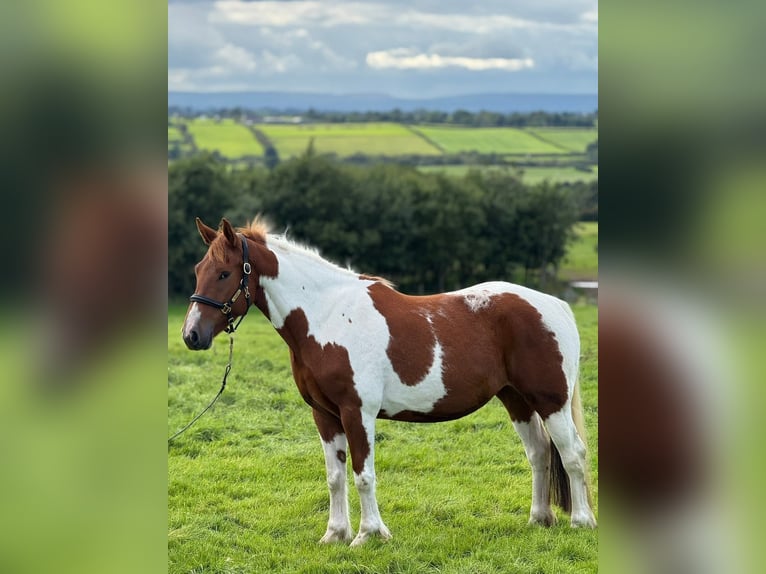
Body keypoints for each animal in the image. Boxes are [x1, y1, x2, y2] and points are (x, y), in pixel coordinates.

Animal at [181, 217, 597, 546]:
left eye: (224, 273)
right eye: (199, 270)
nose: (191, 335)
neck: (327, 316)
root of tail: (556, 305)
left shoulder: (357, 413)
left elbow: (363, 475)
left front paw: (369, 535)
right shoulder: (324, 416)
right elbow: (335, 477)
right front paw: (335, 534)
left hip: (551, 402)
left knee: (572, 454)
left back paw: (581, 521)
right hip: (517, 400)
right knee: (540, 454)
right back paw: (539, 519)